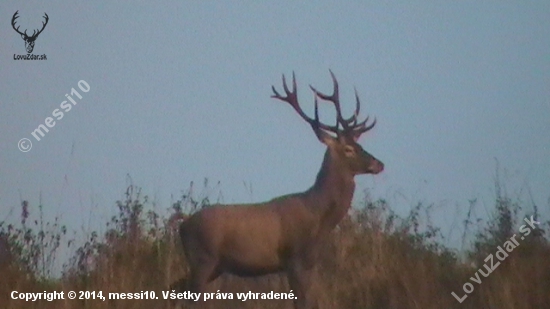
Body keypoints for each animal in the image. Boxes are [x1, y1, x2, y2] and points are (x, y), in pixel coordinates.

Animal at [170, 70, 386, 308]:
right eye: (348, 149)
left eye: (360, 145)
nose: (379, 164)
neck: (318, 216)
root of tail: (184, 224)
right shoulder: (294, 259)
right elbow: (301, 302)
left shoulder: (310, 263)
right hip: (203, 259)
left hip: (213, 266)